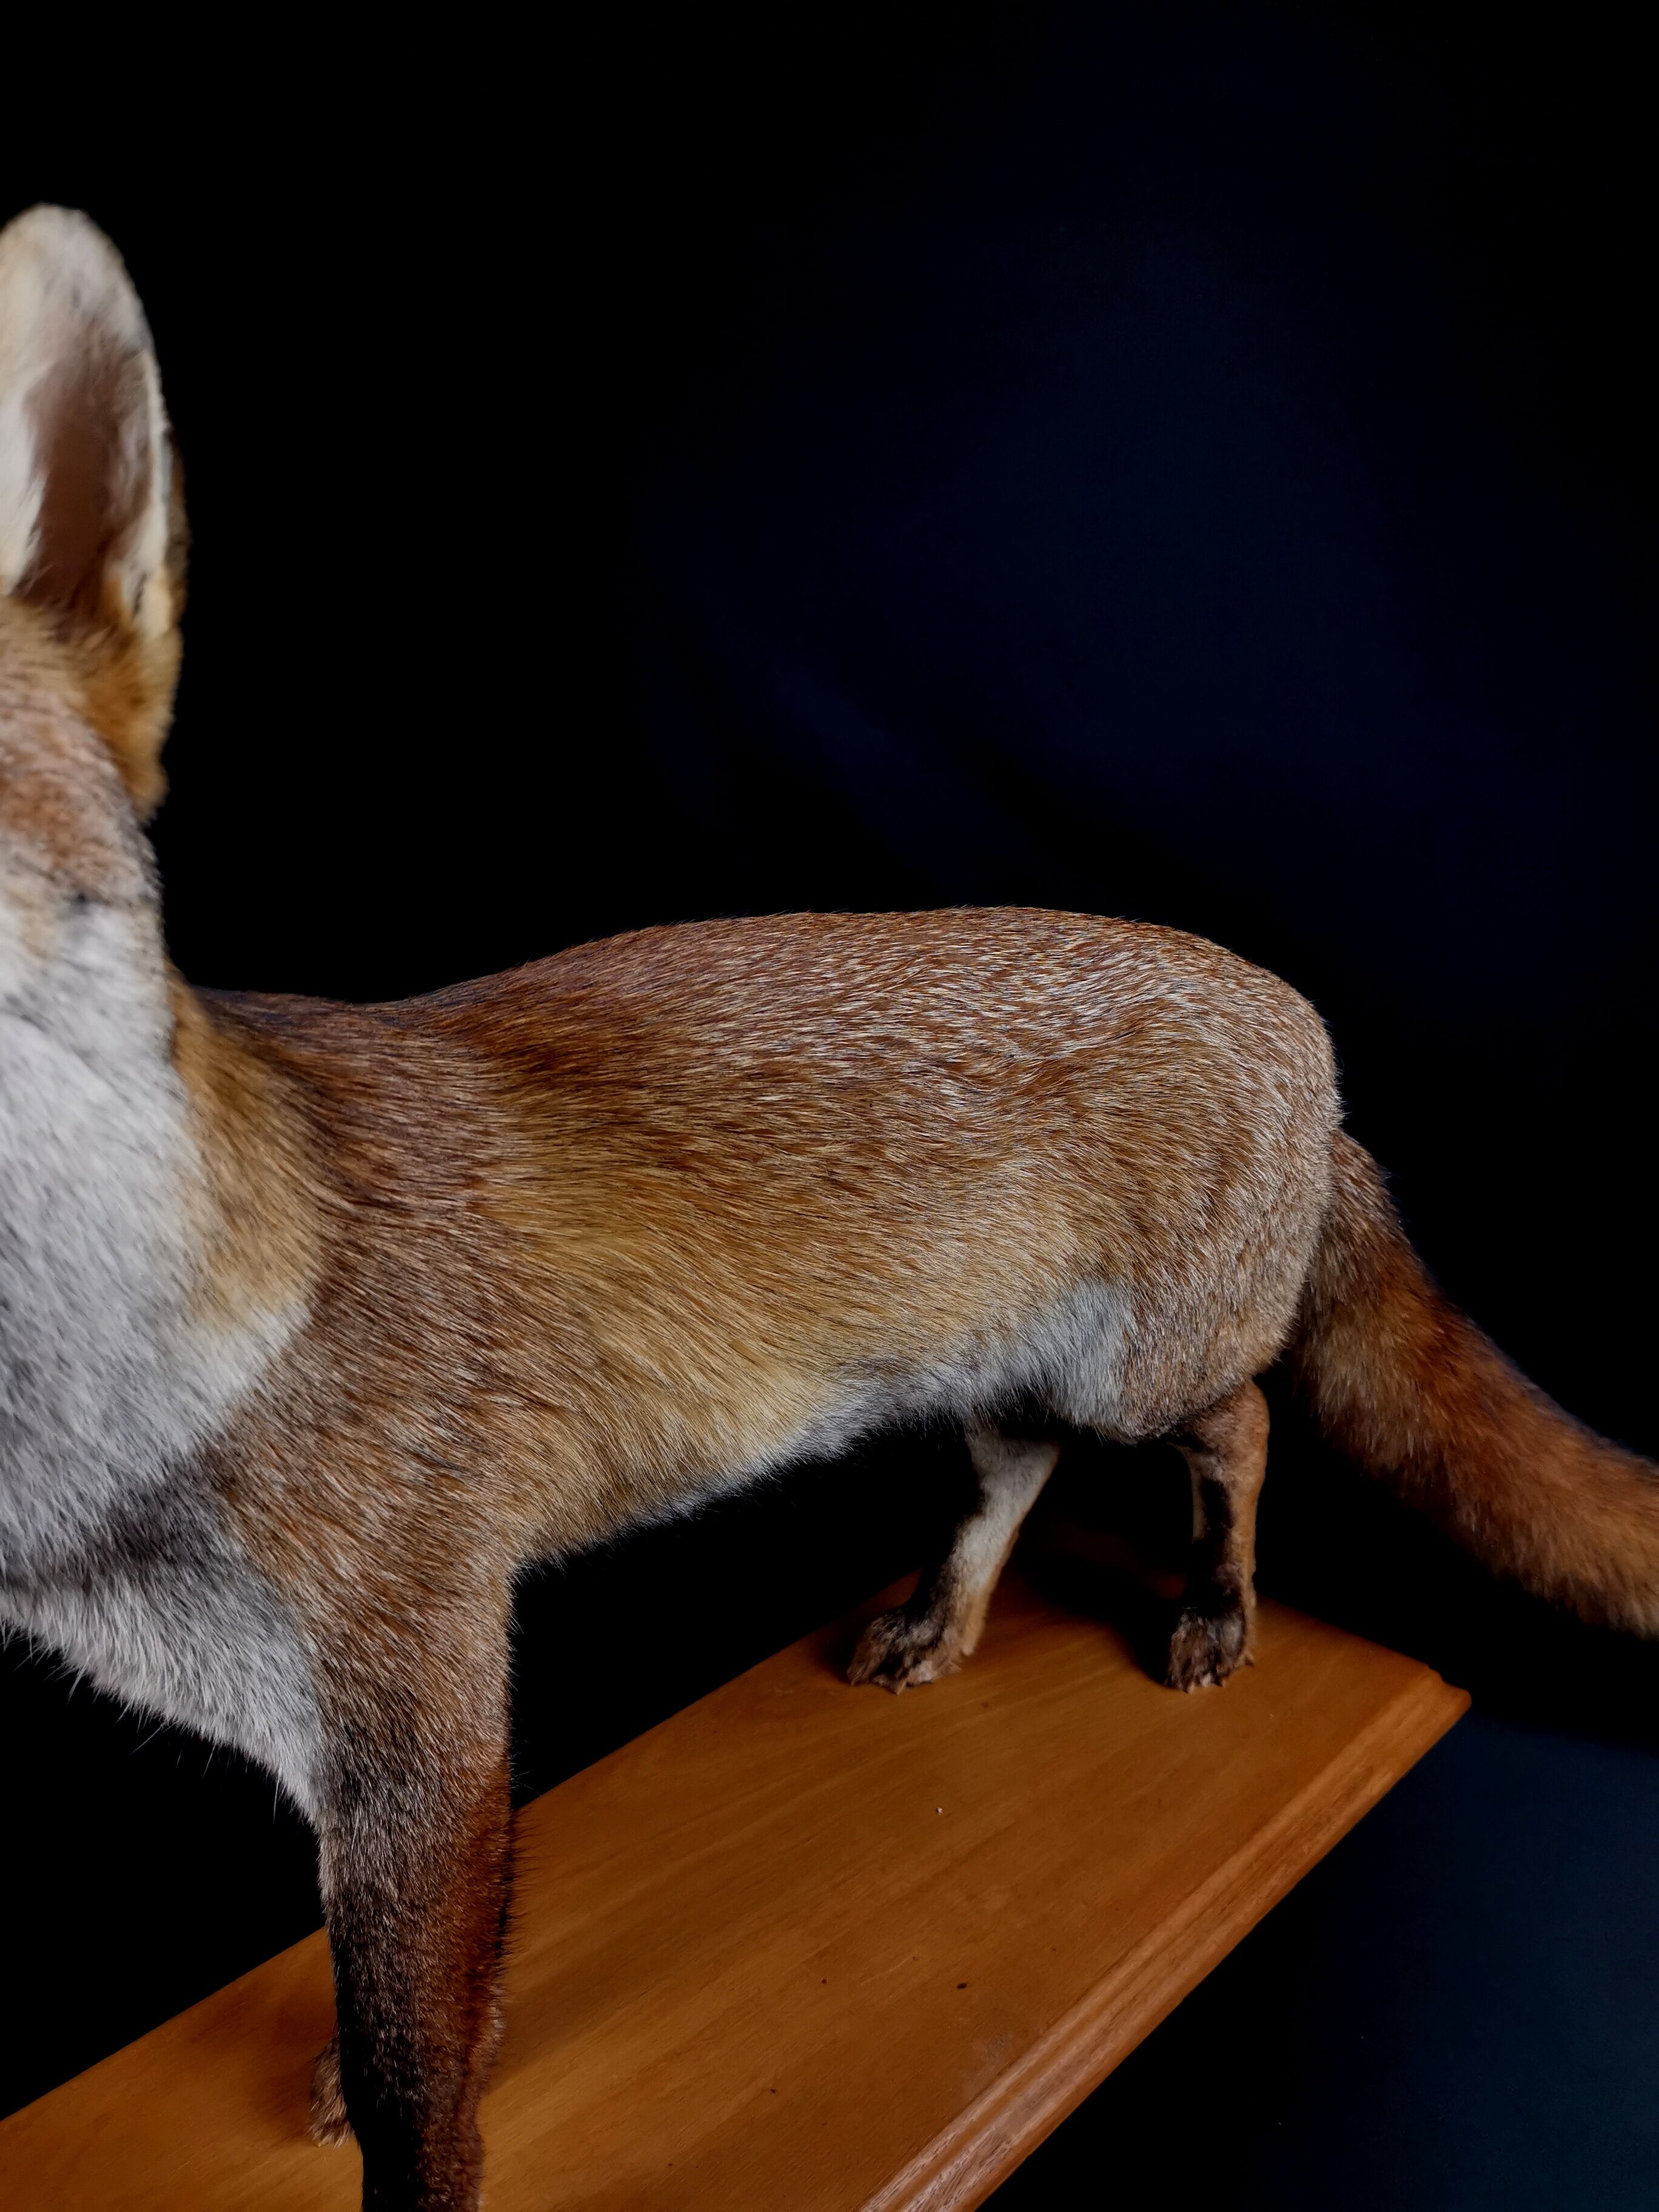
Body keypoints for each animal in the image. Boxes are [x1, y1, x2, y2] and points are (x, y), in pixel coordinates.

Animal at [3, 201, 1658, 2212]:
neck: (93, 1464)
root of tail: (1304, 1029)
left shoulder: (427, 1713)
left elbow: (425, 2092)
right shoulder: (353, 1757)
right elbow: (418, 1993)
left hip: (1144, 1372)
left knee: (1246, 1426)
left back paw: (1216, 1612)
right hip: (999, 1374)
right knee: (1018, 1469)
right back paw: (941, 1624)